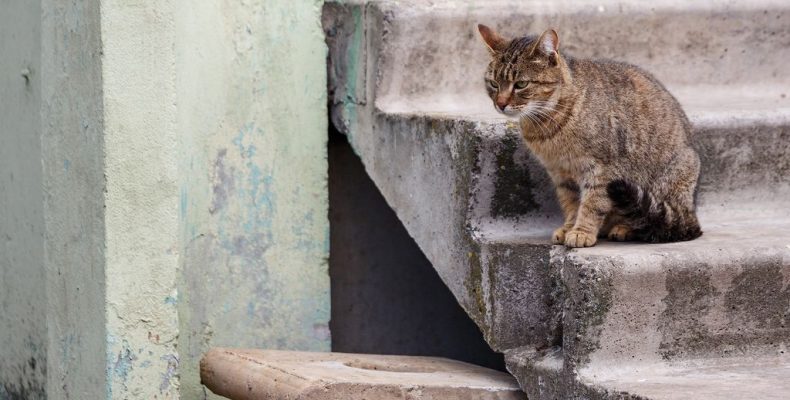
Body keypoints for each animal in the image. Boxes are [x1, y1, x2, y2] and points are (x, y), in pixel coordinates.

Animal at [480, 25, 704, 247]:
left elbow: (592, 203)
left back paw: (624, 228)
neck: (547, 126)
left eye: (521, 84)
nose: (500, 104)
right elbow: (571, 204)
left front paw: (581, 232)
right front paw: (569, 227)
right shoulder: (561, 173)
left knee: (655, 219)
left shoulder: (603, 169)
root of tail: (692, 209)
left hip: (669, 183)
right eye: (493, 84)